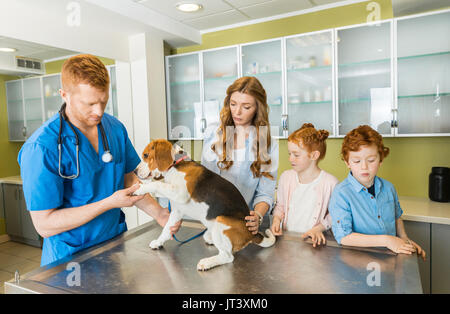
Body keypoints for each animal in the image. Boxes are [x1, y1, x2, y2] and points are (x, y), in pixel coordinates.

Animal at [132, 139, 276, 272]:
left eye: (145, 155)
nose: (134, 172)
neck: (175, 165)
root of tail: (253, 234)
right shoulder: (177, 211)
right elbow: (166, 229)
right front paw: (159, 242)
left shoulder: (180, 193)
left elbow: (157, 184)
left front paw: (140, 188)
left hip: (221, 220)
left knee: (228, 256)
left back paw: (207, 262)